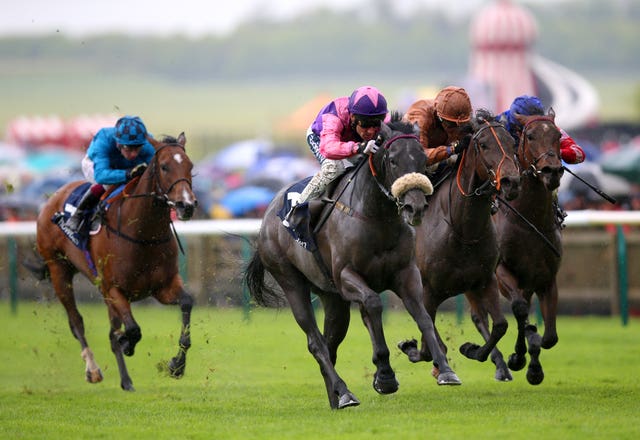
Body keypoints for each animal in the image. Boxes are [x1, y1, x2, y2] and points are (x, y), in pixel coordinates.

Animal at [27, 132, 196, 390]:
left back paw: (126, 381)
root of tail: (52, 198)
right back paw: (93, 370)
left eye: (190, 166)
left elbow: (187, 303)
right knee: (76, 321)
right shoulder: (114, 288)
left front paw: (177, 365)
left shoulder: (163, 287)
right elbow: (133, 329)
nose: (186, 205)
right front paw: (127, 343)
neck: (143, 234)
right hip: (59, 269)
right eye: (165, 166)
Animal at [244, 117, 460, 410]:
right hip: (290, 281)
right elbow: (373, 304)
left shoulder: (406, 273)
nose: (415, 207)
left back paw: (335, 398)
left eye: (422, 158)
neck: (376, 218)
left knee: (329, 343)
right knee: (315, 342)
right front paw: (384, 375)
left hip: (332, 298)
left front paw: (445, 370)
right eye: (392, 160)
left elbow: (422, 315)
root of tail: (267, 214)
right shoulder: (347, 276)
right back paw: (345, 393)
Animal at [398, 110, 524, 382]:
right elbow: (425, 343)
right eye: (483, 144)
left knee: (480, 318)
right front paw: (414, 349)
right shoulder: (429, 289)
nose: (512, 182)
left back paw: (500, 365)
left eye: (512, 143)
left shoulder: (485, 280)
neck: (463, 230)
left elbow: (500, 324)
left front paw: (473, 350)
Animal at [492, 111, 564, 384]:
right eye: (530, 136)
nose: (552, 170)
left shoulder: (546, 279)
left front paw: (534, 365)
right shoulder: (501, 271)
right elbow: (520, 310)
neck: (529, 220)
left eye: (558, 135)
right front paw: (519, 357)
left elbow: (549, 337)